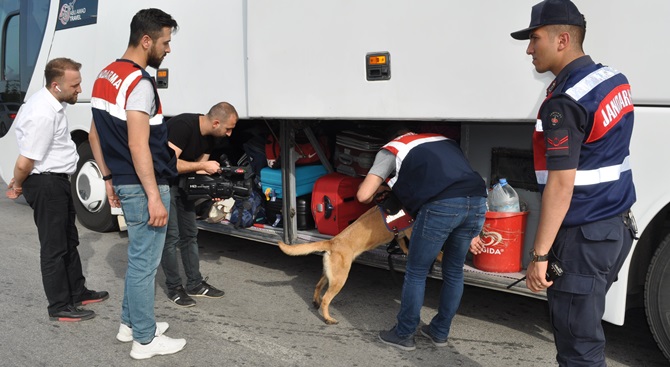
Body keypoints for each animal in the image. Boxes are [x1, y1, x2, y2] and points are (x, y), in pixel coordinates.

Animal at [278, 207, 414, 324]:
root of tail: (332, 242)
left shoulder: (401, 236)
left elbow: (402, 242)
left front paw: (406, 251)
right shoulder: (410, 230)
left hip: (330, 275)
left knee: (318, 286)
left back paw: (316, 302)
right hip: (340, 279)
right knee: (326, 299)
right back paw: (328, 319)